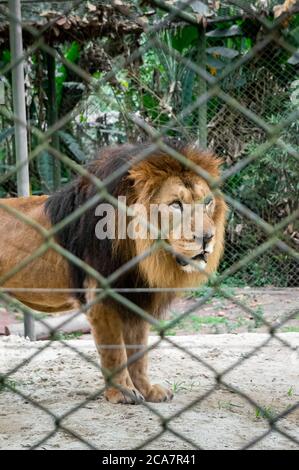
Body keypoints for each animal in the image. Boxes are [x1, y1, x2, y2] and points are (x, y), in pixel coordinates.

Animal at [0, 140, 226, 404]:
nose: (207, 238)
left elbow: (139, 354)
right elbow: (115, 353)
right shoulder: (102, 300)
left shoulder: (135, 296)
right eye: (176, 205)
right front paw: (122, 393)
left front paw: (148, 391)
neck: (140, 251)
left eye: (207, 202)